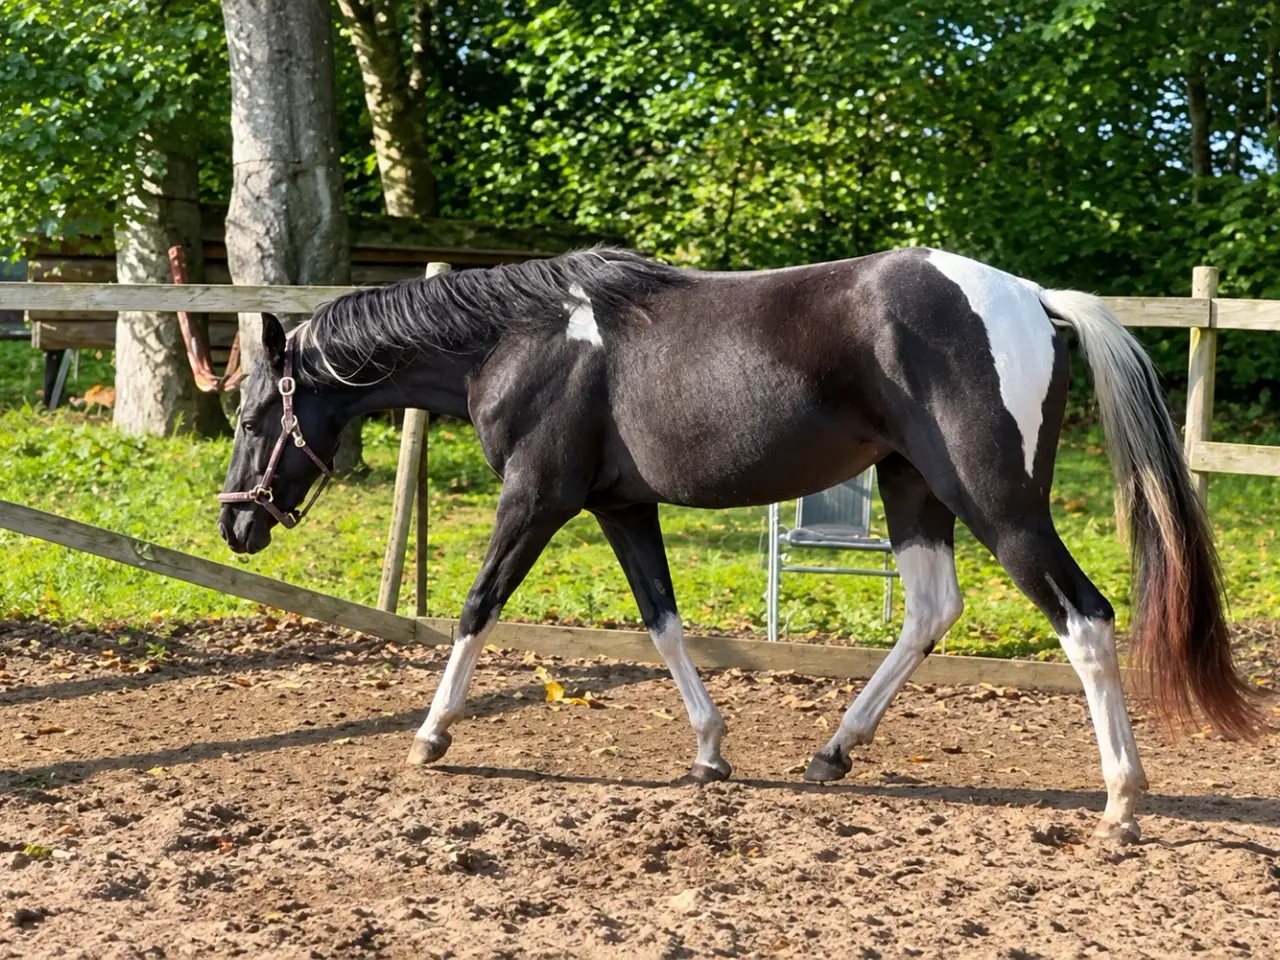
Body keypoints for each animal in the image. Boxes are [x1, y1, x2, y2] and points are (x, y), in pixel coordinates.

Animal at [217, 247, 1261, 842]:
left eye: (255, 411)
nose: (235, 521)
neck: (521, 338)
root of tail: (1033, 300)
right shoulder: (621, 508)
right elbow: (663, 621)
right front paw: (711, 752)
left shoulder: (538, 497)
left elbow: (479, 604)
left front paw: (430, 737)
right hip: (914, 488)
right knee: (933, 610)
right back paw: (833, 752)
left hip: (998, 503)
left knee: (1084, 619)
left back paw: (1121, 803)